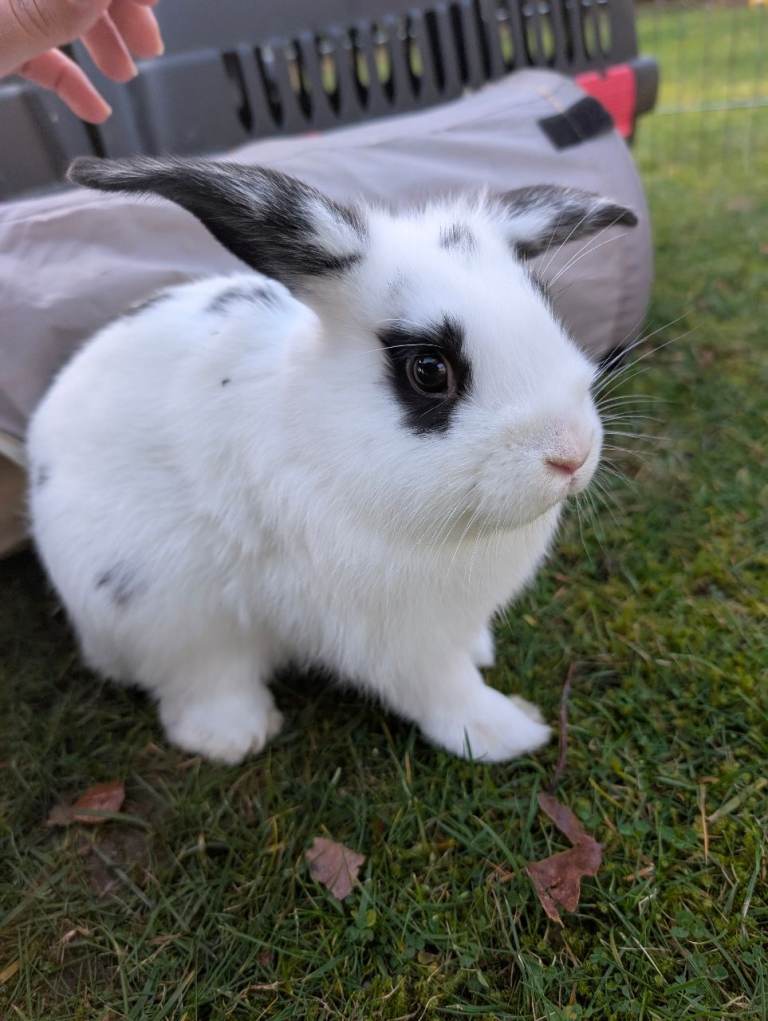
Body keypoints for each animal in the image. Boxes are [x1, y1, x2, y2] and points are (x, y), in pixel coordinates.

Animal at [27, 156, 637, 765]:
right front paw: (510, 731)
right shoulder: (397, 635)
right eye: (429, 370)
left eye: (547, 308)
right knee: (201, 681)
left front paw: (485, 661)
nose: (572, 453)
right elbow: (445, 690)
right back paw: (236, 735)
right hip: (165, 610)